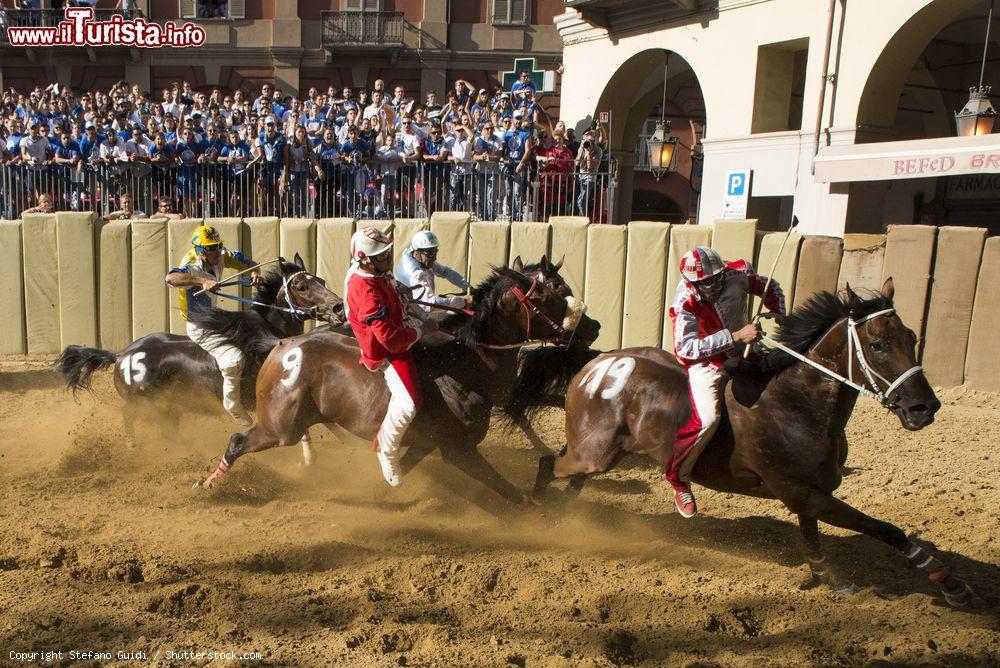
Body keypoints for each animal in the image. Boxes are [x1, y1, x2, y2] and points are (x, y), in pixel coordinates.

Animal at [55, 253, 344, 462]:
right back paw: (135, 445)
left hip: (171, 408)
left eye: (321, 280)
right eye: (302, 286)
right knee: (130, 414)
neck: (268, 340)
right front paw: (310, 457)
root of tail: (121, 356)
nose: (338, 307)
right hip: (146, 403)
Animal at [193, 256, 600, 506]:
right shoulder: (458, 449)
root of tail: (281, 345)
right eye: (553, 294)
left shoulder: (424, 443)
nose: (593, 327)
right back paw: (206, 485)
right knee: (237, 441)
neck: (465, 366)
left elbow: (400, 465)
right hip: (281, 428)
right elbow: (509, 491)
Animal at [532, 280, 976, 608]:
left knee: (569, 476)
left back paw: (563, 514)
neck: (794, 403)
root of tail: (594, 366)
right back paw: (536, 510)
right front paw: (950, 583)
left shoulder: (810, 493)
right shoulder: (799, 490)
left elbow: (812, 541)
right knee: (548, 464)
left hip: (603, 454)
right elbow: (885, 529)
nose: (924, 407)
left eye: (911, 336)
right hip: (592, 453)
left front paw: (831, 580)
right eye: (878, 344)